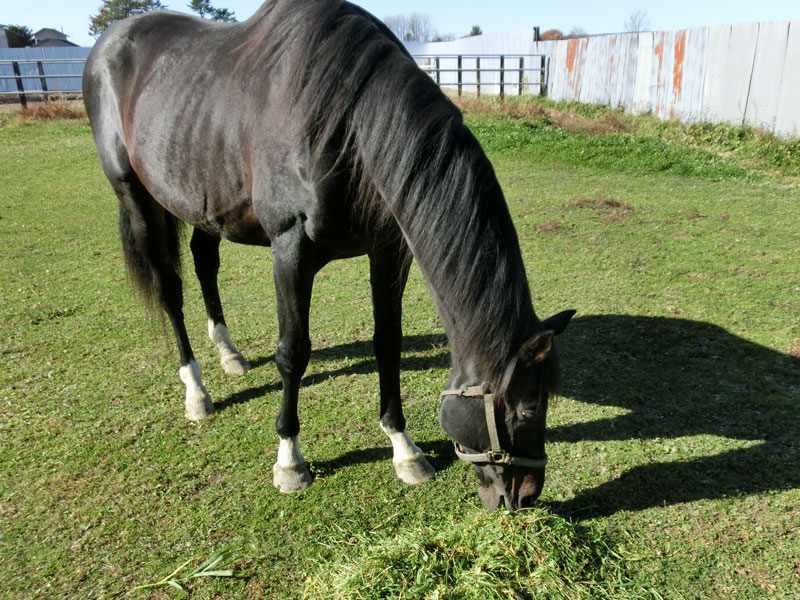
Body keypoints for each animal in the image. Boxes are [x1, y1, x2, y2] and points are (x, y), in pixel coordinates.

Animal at [82, 0, 574, 512]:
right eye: (528, 409)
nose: (526, 493)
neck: (349, 124)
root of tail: (111, 42)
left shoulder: (388, 252)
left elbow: (387, 343)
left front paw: (403, 448)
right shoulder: (290, 252)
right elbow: (292, 353)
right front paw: (289, 460)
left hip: (204, 200)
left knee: (204, 263)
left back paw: (229, 353)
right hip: (135, 195)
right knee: (170, 290)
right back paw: (196, 391)